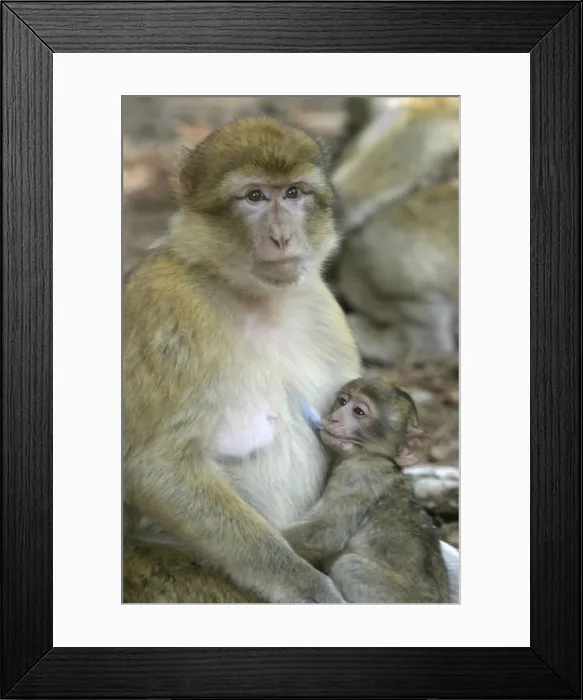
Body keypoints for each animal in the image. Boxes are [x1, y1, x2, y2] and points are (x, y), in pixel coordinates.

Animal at [123, 117, 363, 604]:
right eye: (254, 197)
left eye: (292, 193)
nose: (282, 236)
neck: (256, 299)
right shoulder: (167, 307)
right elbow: (158, 467)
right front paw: (308, 587)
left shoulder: (324, 309)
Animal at [283, 378, 450, 603]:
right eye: (342, 401)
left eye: (359, 412)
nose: (333, 418)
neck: (374, 456)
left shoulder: (358, 474)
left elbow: (326, 534)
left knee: (347, 566)